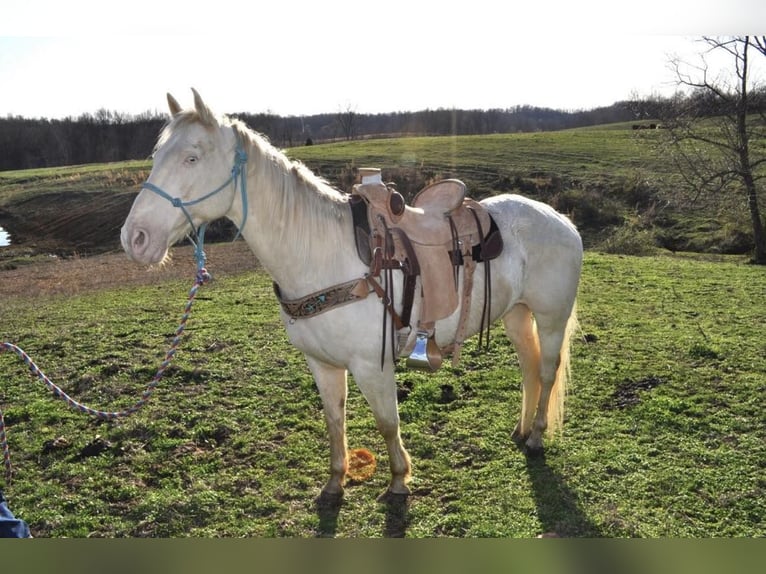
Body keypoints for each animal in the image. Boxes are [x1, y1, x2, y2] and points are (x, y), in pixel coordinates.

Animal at [120, 89, 584, 500]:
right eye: (156, 157)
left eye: (192, 157)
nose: (135, 238)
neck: (322, 255)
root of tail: (560, 219)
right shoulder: (322, 364)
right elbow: (334, 420)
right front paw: (335, 482)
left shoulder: (372, 365)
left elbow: (387, 423)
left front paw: (398, 480)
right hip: (516, 313)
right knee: (529, 367)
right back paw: (521, 431)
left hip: (551, 317)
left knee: (547, 370)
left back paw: (537, 437)